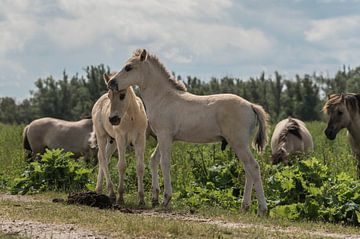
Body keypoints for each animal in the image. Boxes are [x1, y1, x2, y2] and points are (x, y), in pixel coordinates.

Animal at [90, 75, 148, 205]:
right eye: (109, 96)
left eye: (122, 95)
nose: (113, 119)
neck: (131, 117)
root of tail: (97, 103)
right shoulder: (121, 138)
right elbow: (121, 165)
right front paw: (120, 197)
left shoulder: (140, 139)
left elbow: (140, 167)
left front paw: (141, 199)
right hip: (102, 136)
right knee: (102, 158)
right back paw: (111, 193)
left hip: (113, 141)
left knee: (104, 157)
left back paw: (99, 190)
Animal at [107, 49, 270, 217]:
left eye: (128, 67)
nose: (111, 83)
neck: (163, 98)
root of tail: (251, 106)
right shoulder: (165, 137)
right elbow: (153, 160)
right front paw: (154, 198)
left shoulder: (165, 135)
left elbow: (164, 162)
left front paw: (166, 199)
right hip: (239, 144)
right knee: (248, 169)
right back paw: (245, 207)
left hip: (238, 143)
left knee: (253, 167)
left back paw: (262, 209)